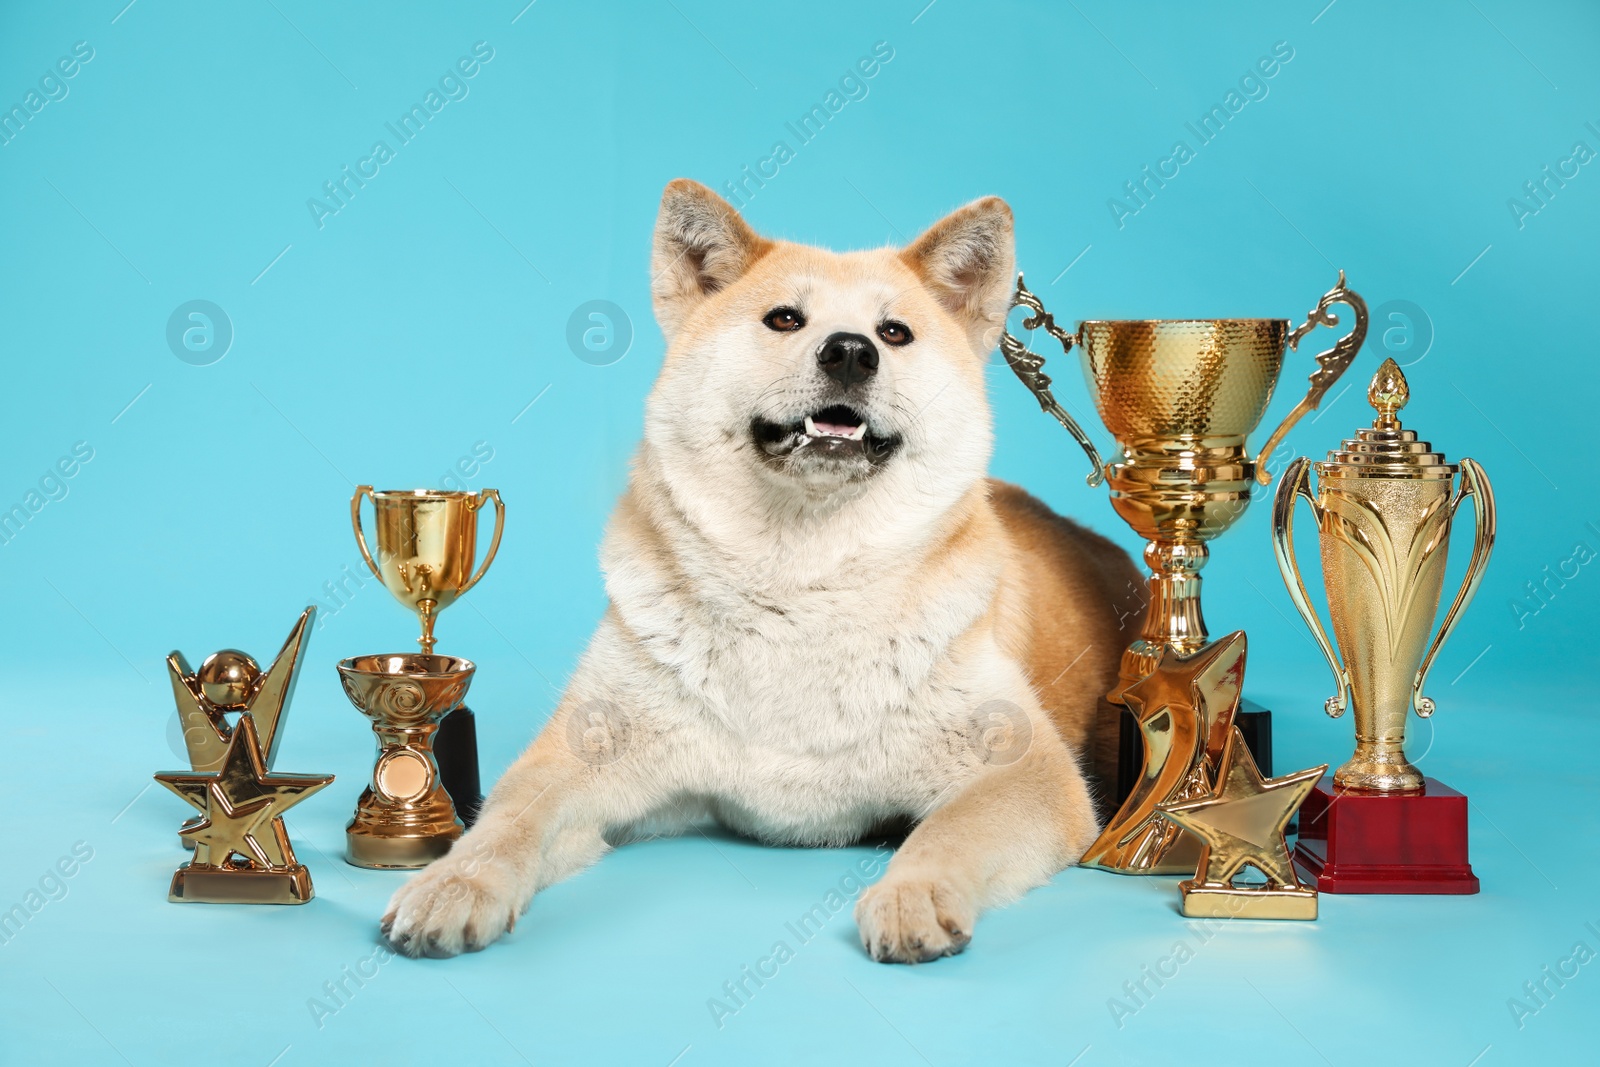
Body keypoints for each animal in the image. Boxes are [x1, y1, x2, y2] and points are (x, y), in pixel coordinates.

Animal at [379, 179, 1139, 966]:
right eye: (785, 319)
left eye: (894, 332)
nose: (850, 352)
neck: (801, 584)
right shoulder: (581, 754)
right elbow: (507, 819)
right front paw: (457, 880)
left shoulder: (1028, 772)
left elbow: (948, 831)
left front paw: (914, 892)